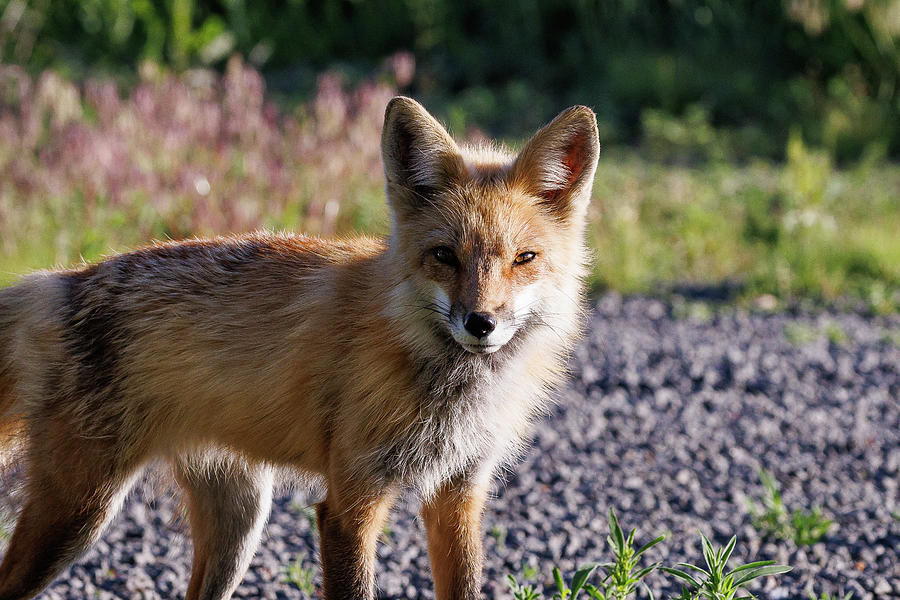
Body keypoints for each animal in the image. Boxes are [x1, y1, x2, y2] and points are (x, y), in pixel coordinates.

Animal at [0, 98, 600, 600]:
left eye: (524, 258)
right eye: (444, 256)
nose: (481, 324)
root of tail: (60, 280)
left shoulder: (459, 494)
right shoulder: (349, 503)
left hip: (238, 525)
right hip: (79, 513)